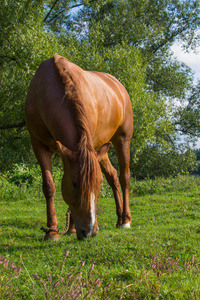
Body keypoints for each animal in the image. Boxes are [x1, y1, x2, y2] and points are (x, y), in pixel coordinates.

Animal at [25, 54, 133, 240]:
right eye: (74, 184)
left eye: (98, 185)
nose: (89, 232)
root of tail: (118, 85)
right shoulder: (40, 145)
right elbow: (49, 186)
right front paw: (53, 232)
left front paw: (69, 229)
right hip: (101, 149)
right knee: (113, 176)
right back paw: (119, 219)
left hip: (122, 140)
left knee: (124, 177)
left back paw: (125, 221)